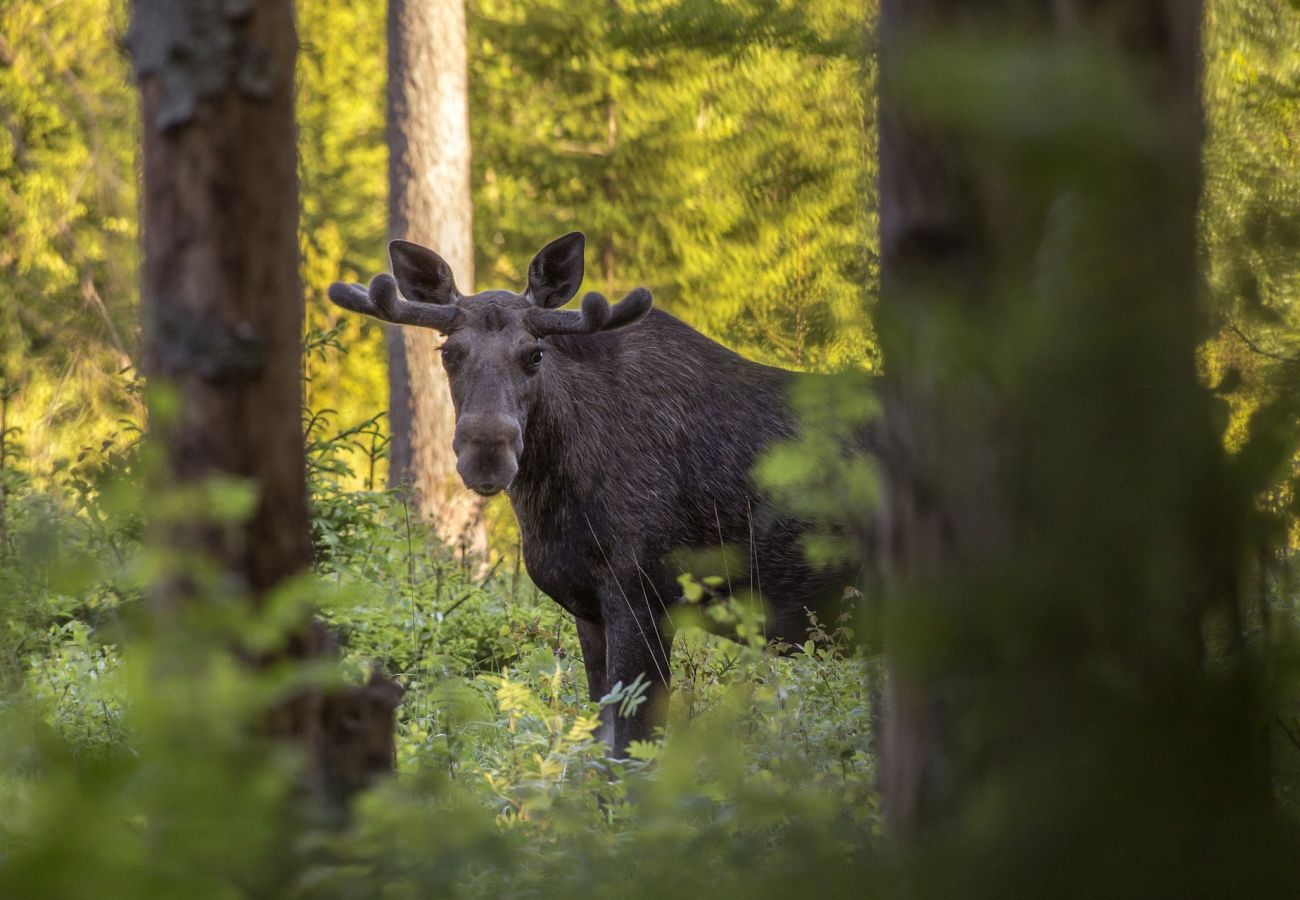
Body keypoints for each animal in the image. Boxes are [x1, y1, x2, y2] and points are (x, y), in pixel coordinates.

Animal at [330, 235, 868, 754]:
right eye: (448, 353)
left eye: (535, 354)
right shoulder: (588, 608)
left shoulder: (646, 594)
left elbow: (629, 749)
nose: (486, 454)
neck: (553, 504)